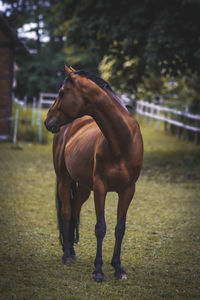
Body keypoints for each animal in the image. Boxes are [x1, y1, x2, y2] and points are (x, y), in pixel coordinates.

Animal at [44, 65, 143, 282]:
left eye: (62, 93)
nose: (47, 121)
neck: (122, 142)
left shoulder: (128, 190)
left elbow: (120, 228)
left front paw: (118, 268)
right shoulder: (100, 187)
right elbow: (100, 228)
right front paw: (98, 270)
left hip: (84, 187)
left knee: (74, 210)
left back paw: (72, 252)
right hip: (65, 180)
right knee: (66, 211)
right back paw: (67, 255)